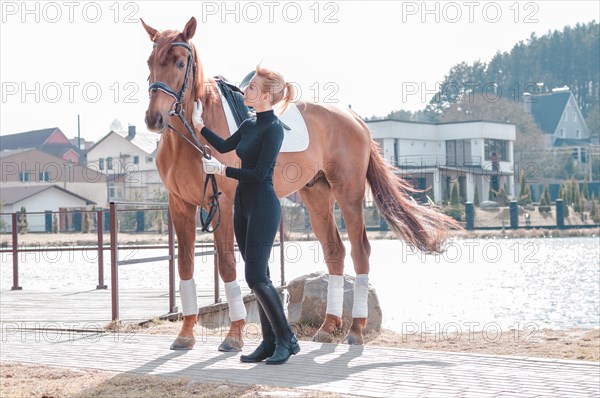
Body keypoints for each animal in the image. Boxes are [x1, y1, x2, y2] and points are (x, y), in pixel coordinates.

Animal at [142, 17, 460, 350]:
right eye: (150, 62)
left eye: (180, 63)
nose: (154, 119)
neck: (188, 139)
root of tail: (355, 118)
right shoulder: (179, 205)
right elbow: (184, 266)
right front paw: (185, 334)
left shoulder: (223, 204)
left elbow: (227, 265)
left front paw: (234, 335)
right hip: (317, 196)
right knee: (335, 252)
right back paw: (327, 326)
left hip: (349, 194)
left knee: (360, 252)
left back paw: (355, 330)